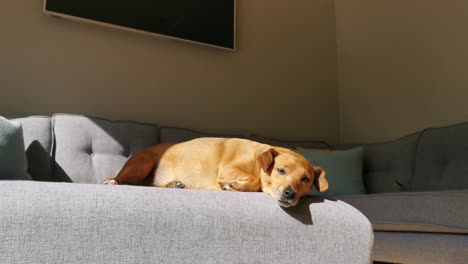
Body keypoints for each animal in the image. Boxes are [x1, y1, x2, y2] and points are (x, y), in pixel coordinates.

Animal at [103, 137, 328, 207]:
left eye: (305, 179)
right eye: (280, 170)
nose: (290, 194)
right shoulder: (230, 168)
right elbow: (255, 180)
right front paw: (235, 185)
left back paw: (174, 184)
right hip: (144, 162)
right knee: (120, 179)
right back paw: (112, 182)